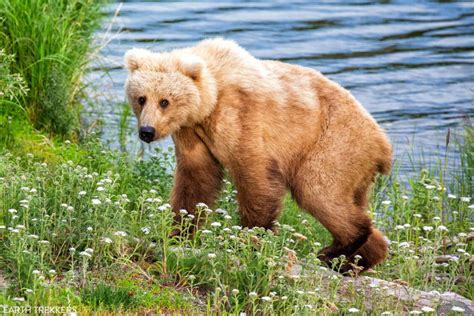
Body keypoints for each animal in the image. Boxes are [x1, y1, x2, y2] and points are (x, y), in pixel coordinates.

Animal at [124, 38, 390, 272]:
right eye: (141, 98)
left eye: (165, 101)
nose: (147, 131)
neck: (209, 101)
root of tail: (382, 144)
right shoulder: (191, 132)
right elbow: (196, 179)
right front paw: (176, 233)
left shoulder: (241, 115)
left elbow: (254, 175)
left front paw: (250, 237)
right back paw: (356, 260)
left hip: (334, 142)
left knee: (316, 189)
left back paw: (333, 250)